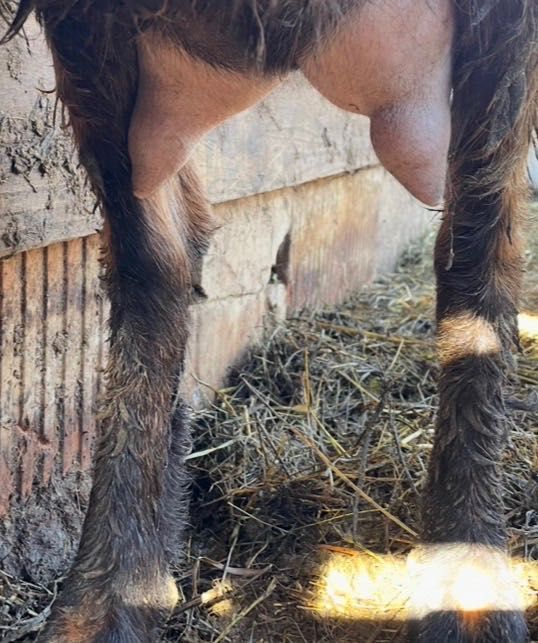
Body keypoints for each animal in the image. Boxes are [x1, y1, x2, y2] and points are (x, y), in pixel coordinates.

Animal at [2, 1, 537, 641]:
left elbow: (479, 240)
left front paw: (471, 593)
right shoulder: (81, 20)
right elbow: (150, 254)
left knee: (480, 233)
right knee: (161, 247)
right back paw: (108, 599)